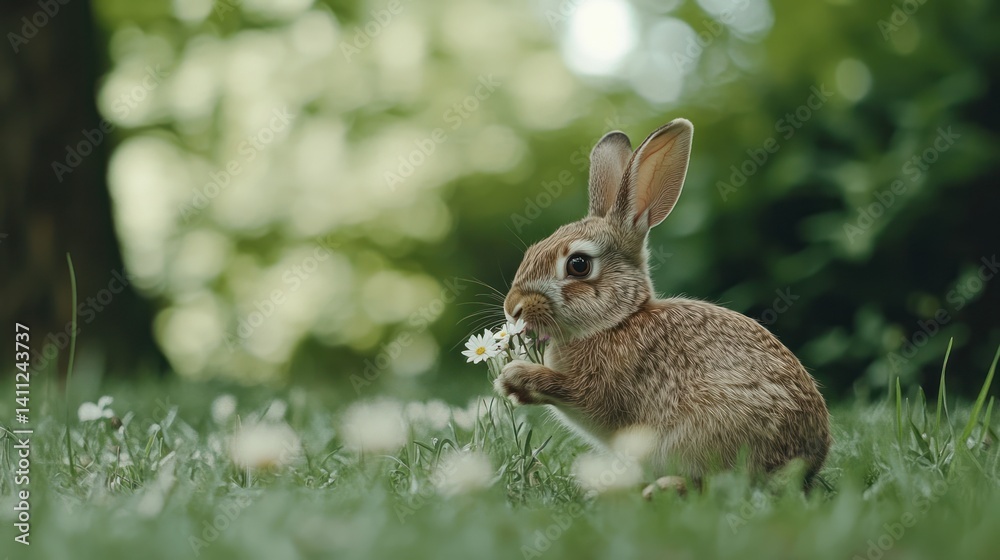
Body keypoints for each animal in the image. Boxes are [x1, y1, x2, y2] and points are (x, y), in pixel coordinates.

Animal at [493, 119, 830, 491]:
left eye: (578, 265)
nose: (513, 308)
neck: (618, 320)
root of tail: (804, 463)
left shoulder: (600, 390)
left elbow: (577, 394)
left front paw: (514, 377)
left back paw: (664, 487)